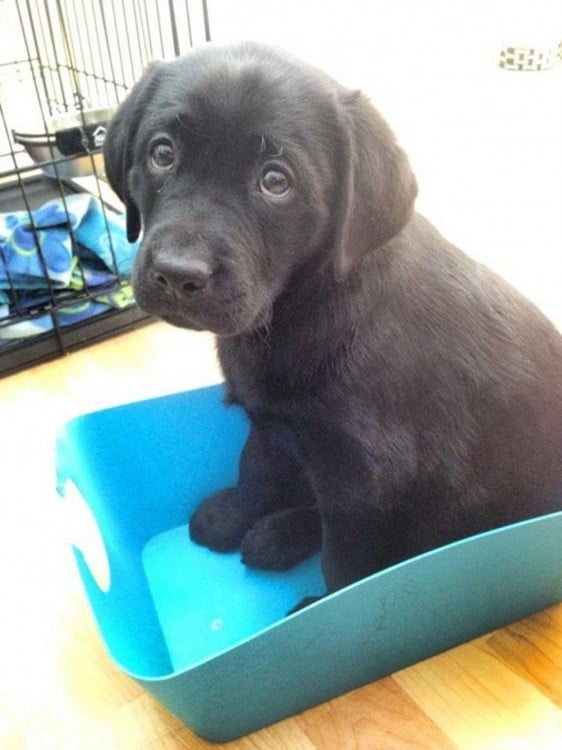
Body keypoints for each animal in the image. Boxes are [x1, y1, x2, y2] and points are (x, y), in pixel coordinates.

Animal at [104, 42, 560, 604]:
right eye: (162, 153)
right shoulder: (271, 422)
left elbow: (345, 562)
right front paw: (231, 516)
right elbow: (255, 470)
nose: (177, 274)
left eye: (276, 182)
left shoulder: (363, 481)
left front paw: (325, 606)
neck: (301, 305)